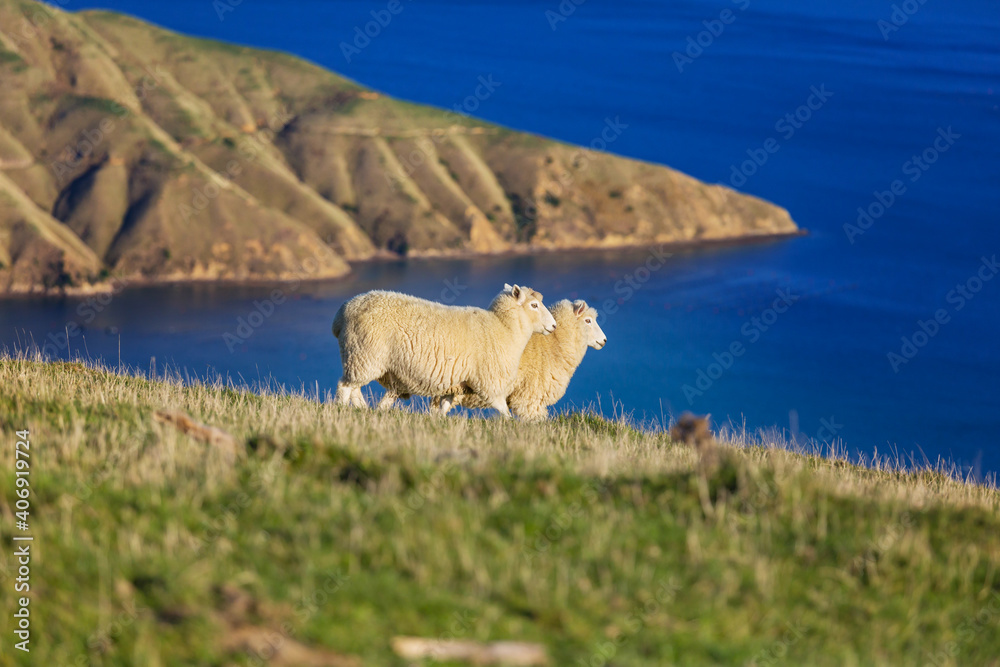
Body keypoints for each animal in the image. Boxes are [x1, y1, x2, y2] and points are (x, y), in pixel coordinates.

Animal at [331, 284, 557, 416]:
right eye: (534, 305)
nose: (554, 325)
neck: (503, 327)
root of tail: (343, 312)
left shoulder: (456, 383)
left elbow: (444, 408)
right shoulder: (489, 382)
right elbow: (503, 410)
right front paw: (510, 426)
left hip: (357, 357)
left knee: (354, 389)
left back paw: (365, 411)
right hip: (365, 356)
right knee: (345, 387)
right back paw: (341, 409)